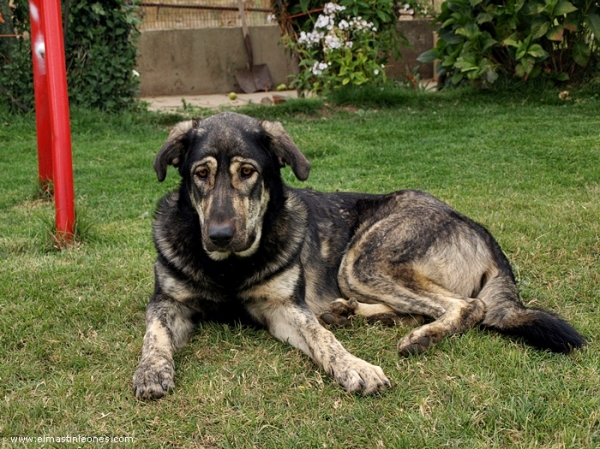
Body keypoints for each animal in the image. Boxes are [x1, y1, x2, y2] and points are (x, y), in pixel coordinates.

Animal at [132, 112, 584, 400]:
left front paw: (356, 367)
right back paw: (347, 312)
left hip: (363, 259)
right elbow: (153, 335)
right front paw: (151, 369)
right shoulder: (168, 302)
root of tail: (478, 229)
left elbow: (322, 339)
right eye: (201, 174)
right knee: (413, 309)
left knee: (465, 306)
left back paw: (420, 336)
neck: (229, 269)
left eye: (247, 173)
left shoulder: (283, 307)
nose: (221, 236)